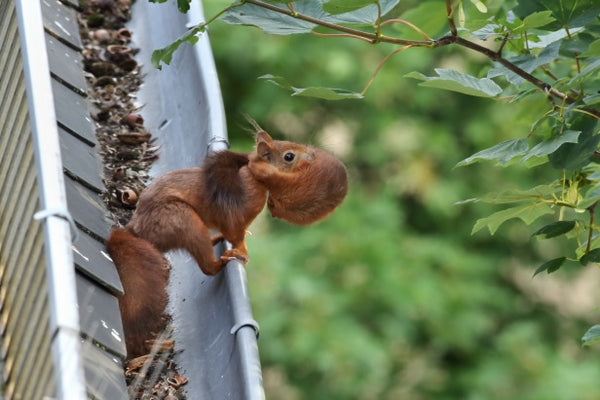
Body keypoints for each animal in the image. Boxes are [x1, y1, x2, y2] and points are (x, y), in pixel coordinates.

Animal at [105, 129, 344, 356]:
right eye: (289, 156)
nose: (313, 155)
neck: (253, 179)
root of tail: (138, 229)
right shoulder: (233, 213)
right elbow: (234, 234)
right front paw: (242, 251)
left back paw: (216, 240)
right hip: (183, 221)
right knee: (207, 267)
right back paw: (223, 260)